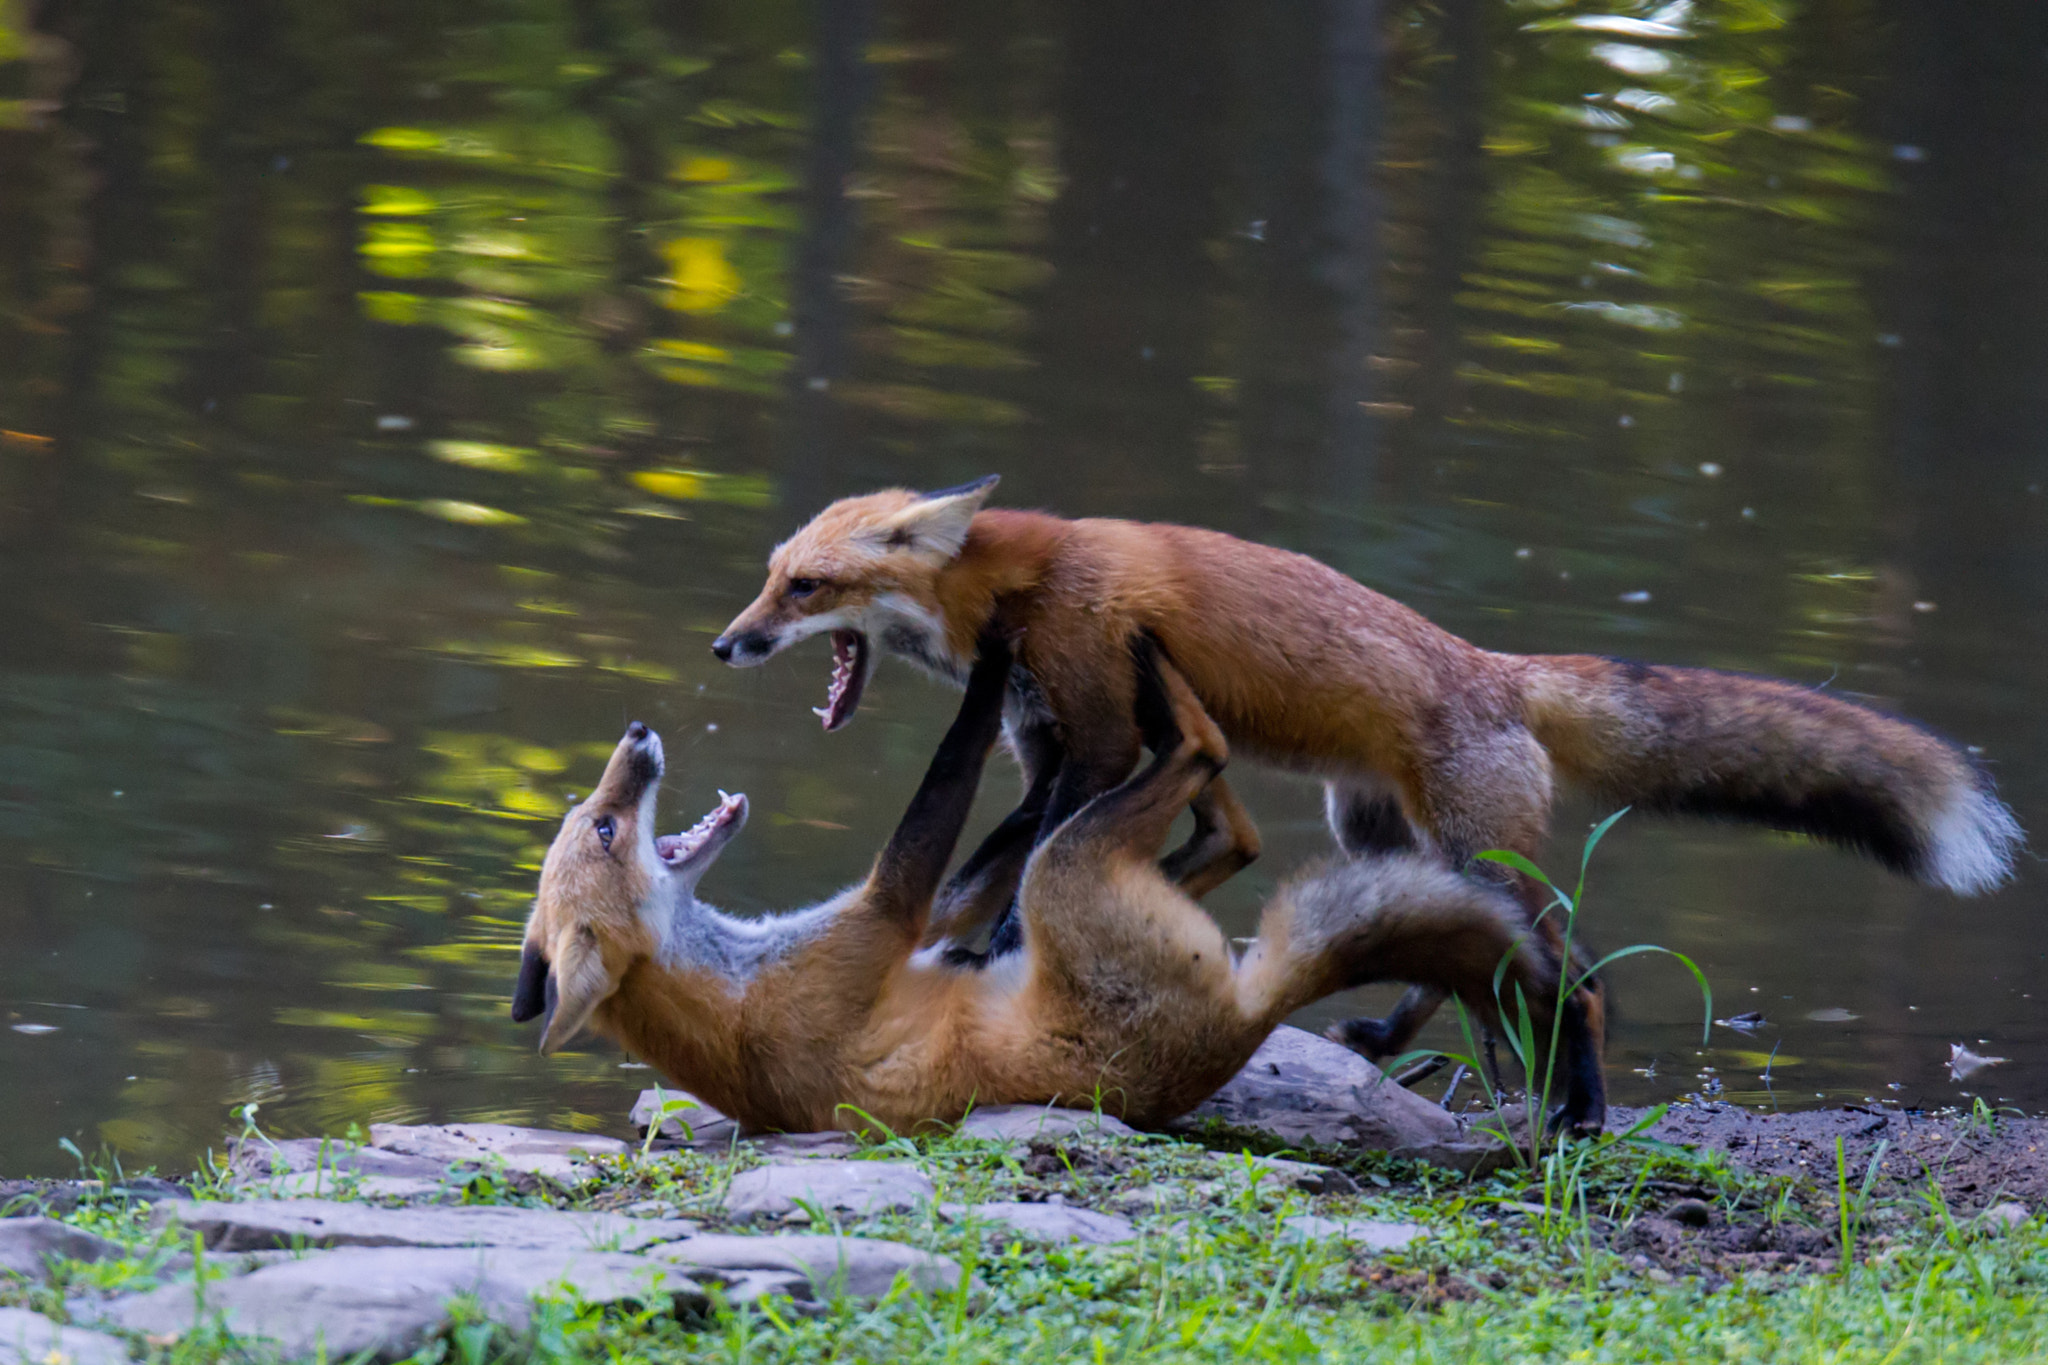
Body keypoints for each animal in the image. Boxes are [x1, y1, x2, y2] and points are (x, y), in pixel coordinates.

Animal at [507, 634, 1581, 1137]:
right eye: (605, 828)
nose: (635, 734)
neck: (733, 983)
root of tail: (1241, 1020)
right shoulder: (879, 918)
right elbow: (943, 779)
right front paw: (990, 665)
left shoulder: (918, 920)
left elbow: (972, 864)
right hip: (1071, 872)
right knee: (1202, 763)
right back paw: (1176, 705)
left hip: (1059, 879)